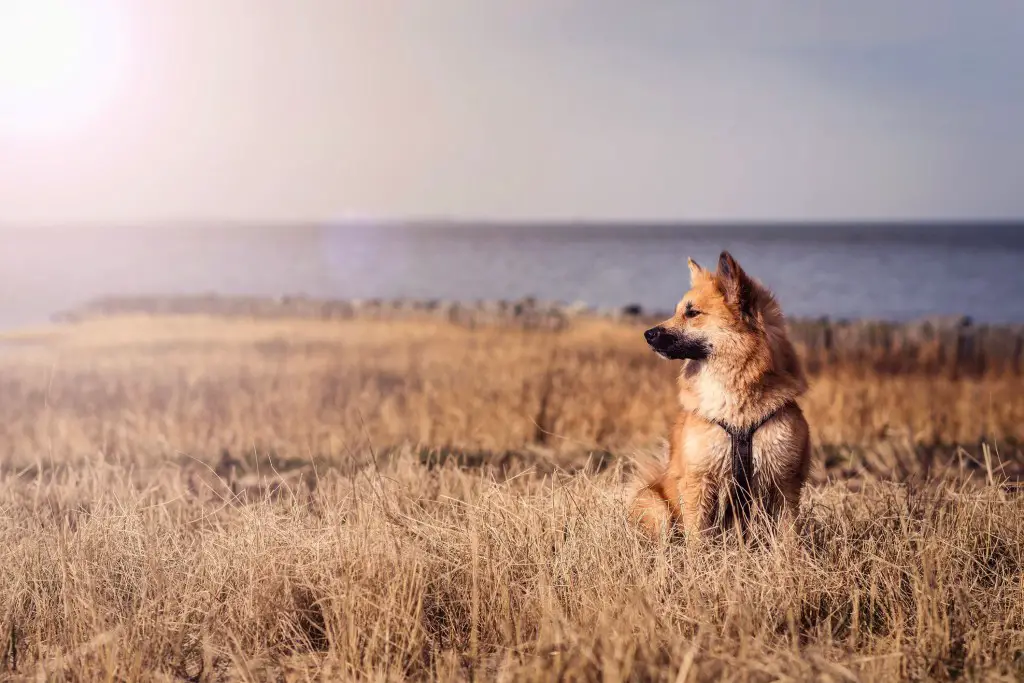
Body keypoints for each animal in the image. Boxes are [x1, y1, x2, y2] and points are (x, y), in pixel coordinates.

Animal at [626, 250, 811, 540]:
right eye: (678, 311)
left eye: (692, 313)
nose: (647, 334)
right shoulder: (698, 481)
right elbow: (697, 538)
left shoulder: (784, 482)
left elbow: (788, 536)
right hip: (657, 508)